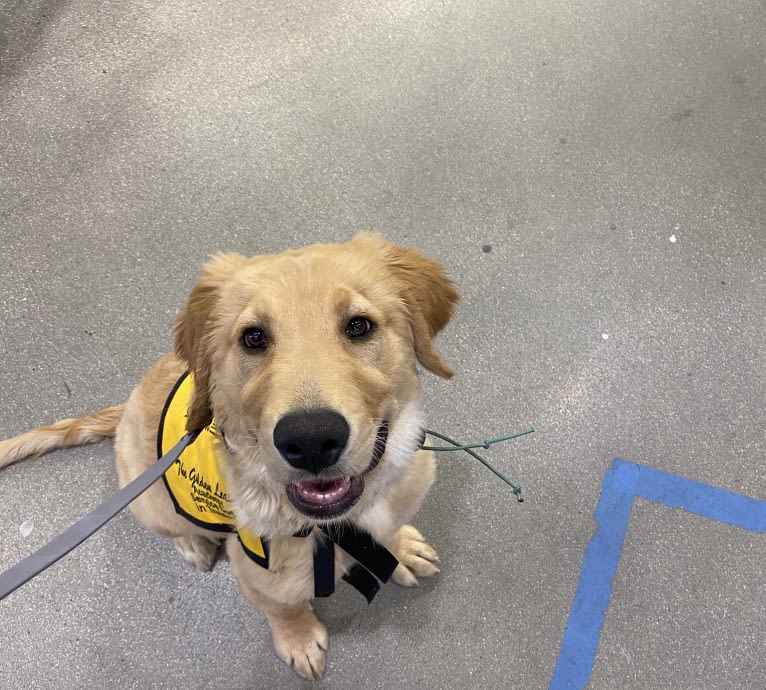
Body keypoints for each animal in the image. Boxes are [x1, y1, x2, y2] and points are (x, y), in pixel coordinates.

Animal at [0, 232, 460, 676]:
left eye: (359, 326)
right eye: (253, 337)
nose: (310, 441)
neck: (334, 526)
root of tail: (129, 401)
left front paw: (400, 549)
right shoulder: (260, 574)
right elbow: (285, 609)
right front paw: (299, 640)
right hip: (150, 503)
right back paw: (193, 544)